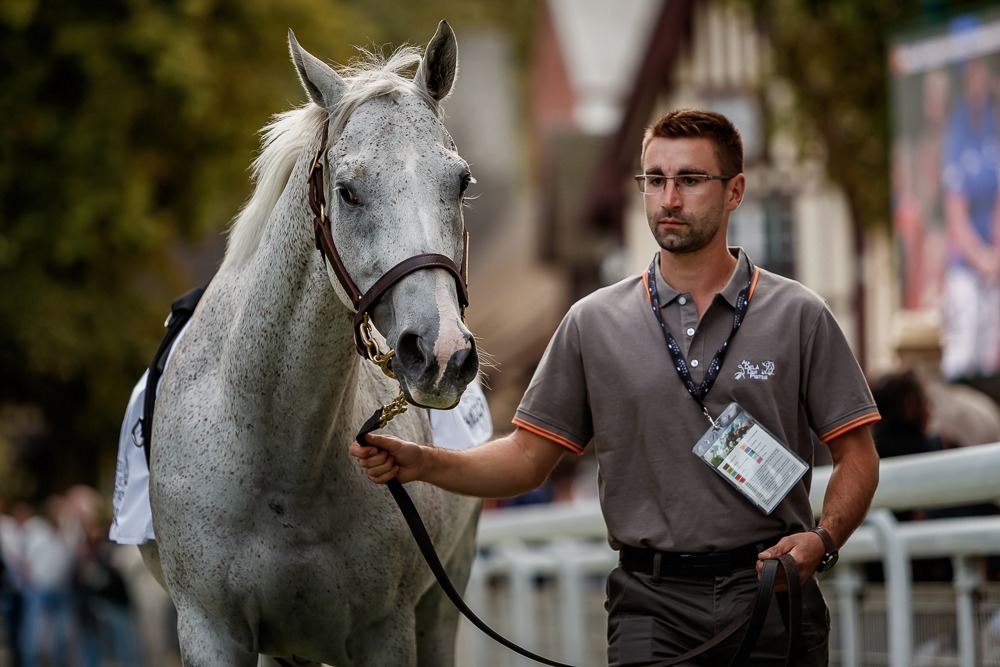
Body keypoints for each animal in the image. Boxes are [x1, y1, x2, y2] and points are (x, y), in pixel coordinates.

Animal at [142, 22, 484, 667]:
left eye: (460, 181)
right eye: (347, 192)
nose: (441, 355)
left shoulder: (386, 631)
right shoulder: (211, 627)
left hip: (440, 605)